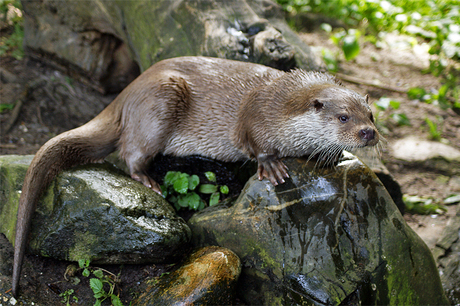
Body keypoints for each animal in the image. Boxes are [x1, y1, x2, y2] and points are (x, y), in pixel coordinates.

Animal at [11, 55, 378, 296]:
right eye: (344, 117)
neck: (281, 104)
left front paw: (336, 156)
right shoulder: (255, 117)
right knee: (131, 152)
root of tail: (127, 93)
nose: (369, 133)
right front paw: (271, 163)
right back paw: (148, 181)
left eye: (370, 114)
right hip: (159, 101)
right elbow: (255, 142)